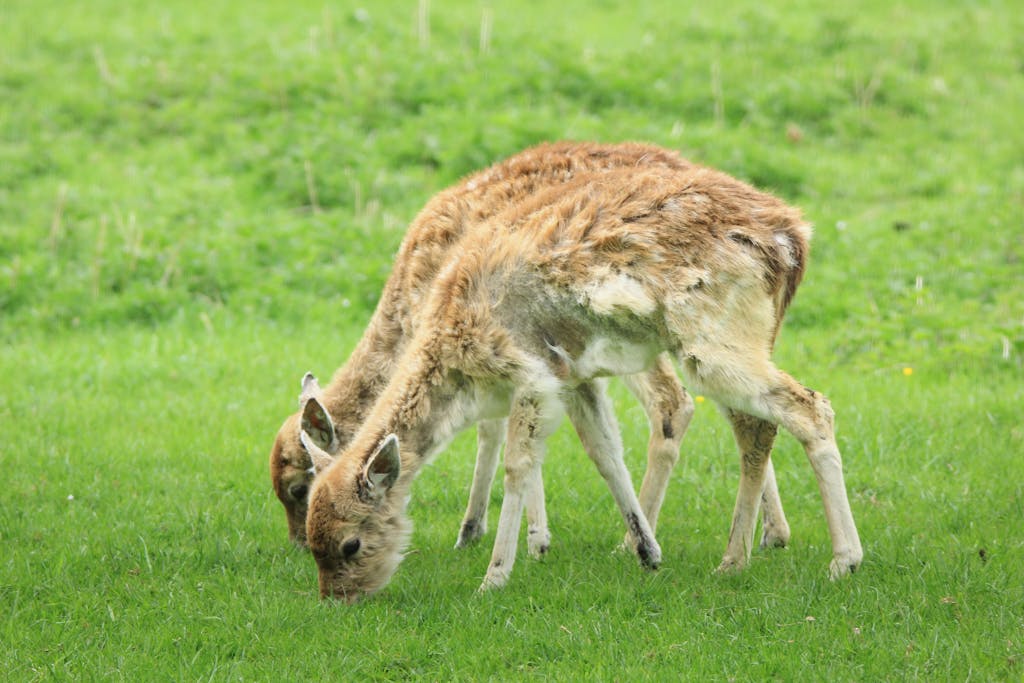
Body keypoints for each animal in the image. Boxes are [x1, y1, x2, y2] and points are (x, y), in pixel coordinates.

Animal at [302, 163, 863, 602]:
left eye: (350, 543)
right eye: (313, 540)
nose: (338, 599)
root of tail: (795, 242)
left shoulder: (531, 374)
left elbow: (519, 465)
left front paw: (495, 575)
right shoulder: (574, 376)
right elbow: (604, 451)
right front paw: (646, 550)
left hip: (714, 340)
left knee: (811, 407)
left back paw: (844, 560)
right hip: (733, 343)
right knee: (757, 426)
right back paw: (733, 560)